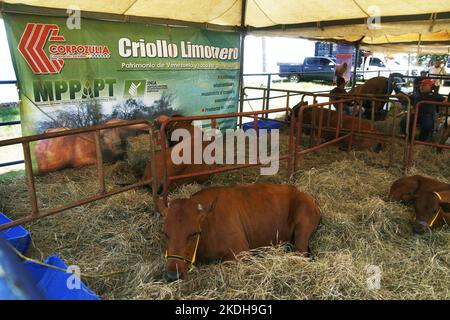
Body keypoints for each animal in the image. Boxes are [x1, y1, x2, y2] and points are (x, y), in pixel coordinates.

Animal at [156, 184, 322, 282]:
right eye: (165, 233)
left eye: (194, 233)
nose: (172, 275)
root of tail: (300, 191)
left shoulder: (240, 252)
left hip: (303, 227)